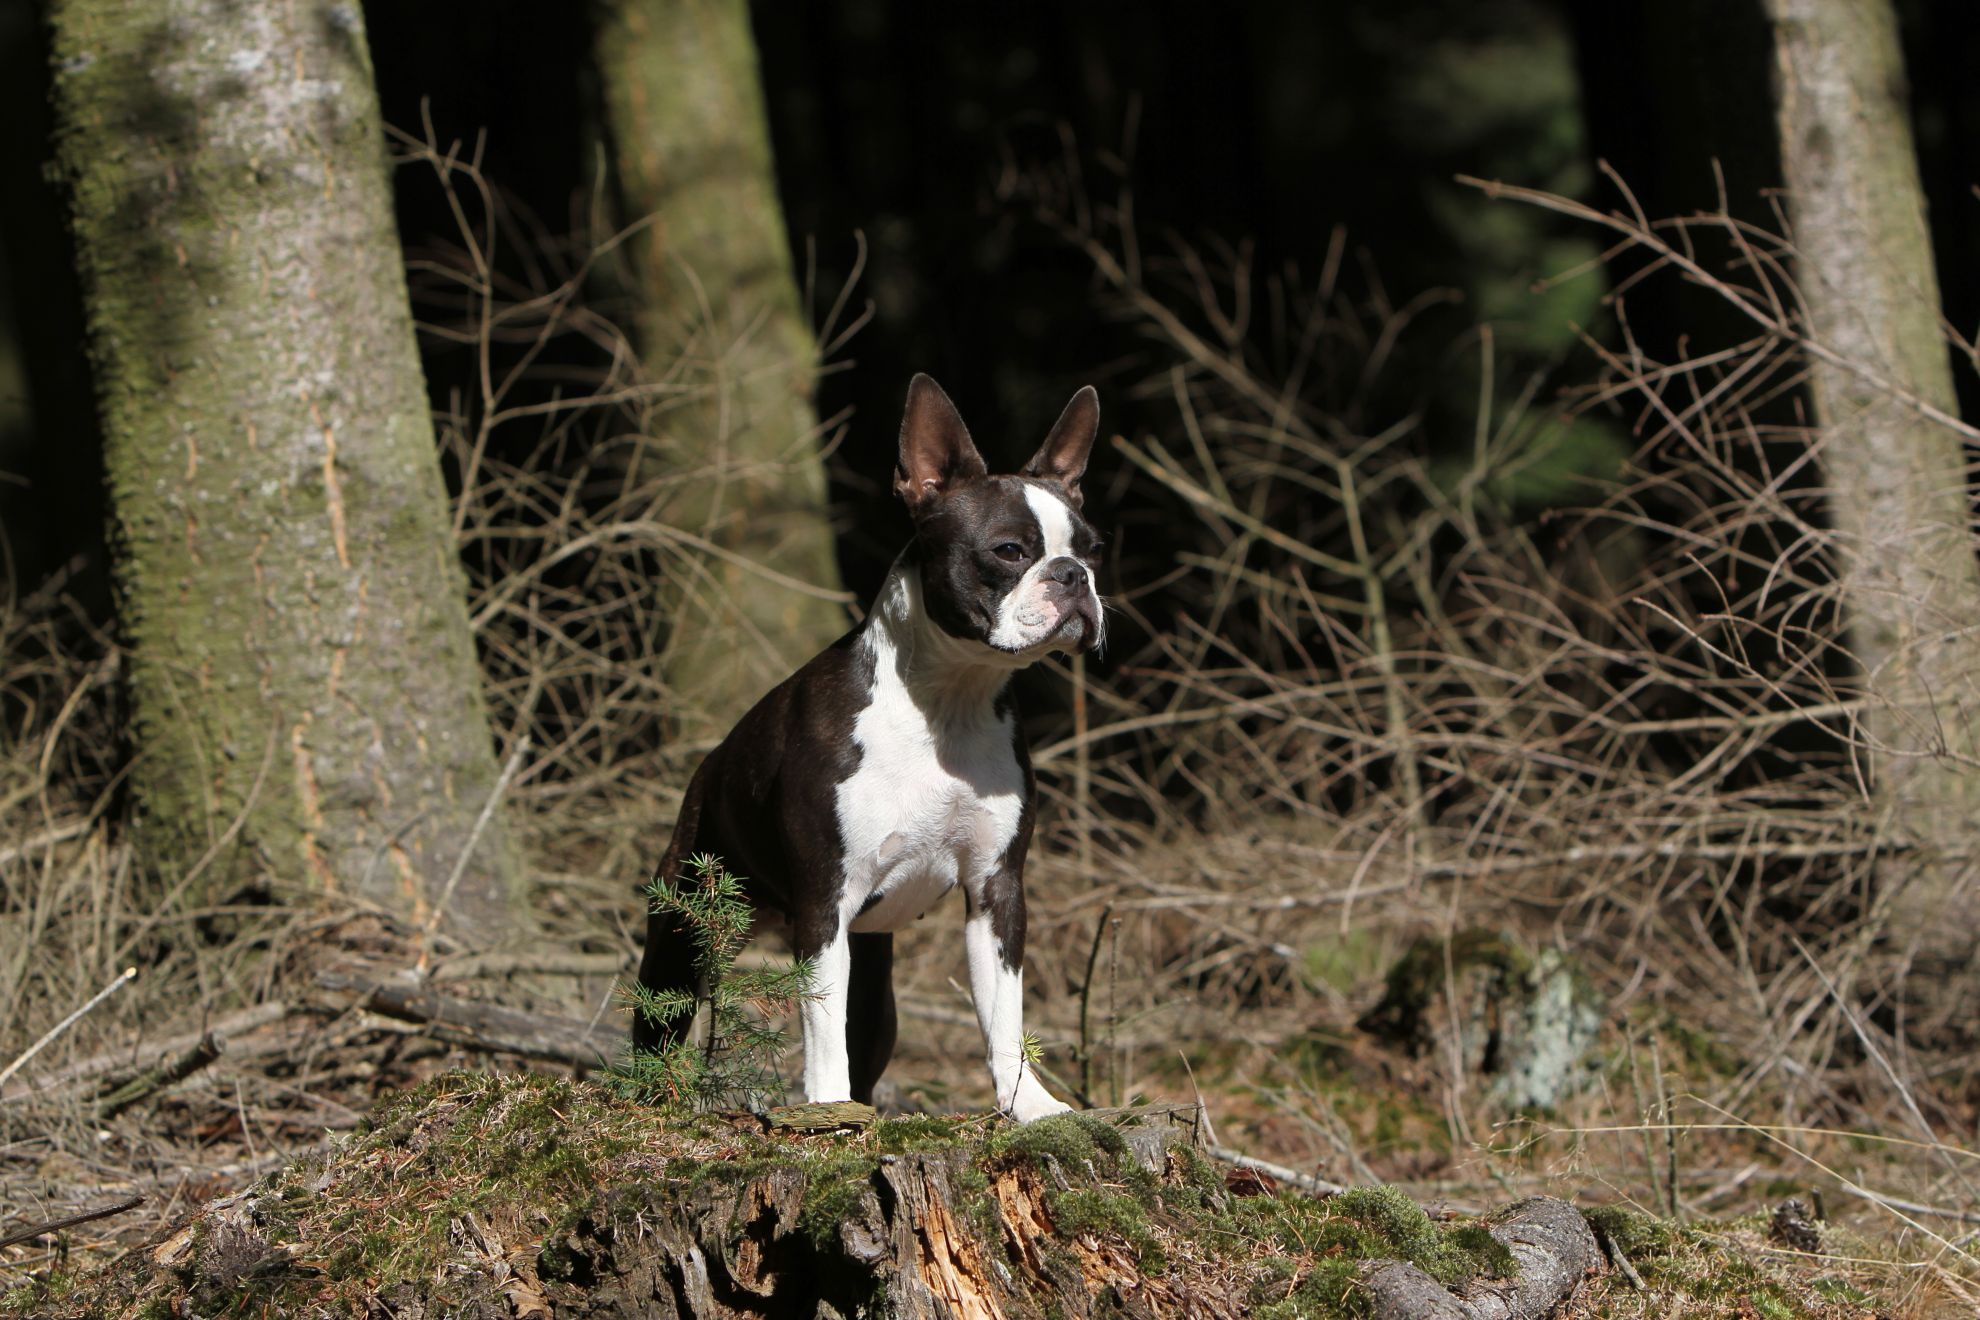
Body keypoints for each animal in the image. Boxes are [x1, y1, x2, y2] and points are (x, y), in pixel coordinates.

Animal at [629, 374, 1100, 1124]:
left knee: (868, 1037)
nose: (1074, 576)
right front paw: (826, 1110)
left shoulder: (995, 890)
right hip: (683, 927)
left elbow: (1005, 1016)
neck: (948, 703)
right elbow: (823, 1024)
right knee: (662, 1030)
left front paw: (1028, 1103)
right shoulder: (827, 899)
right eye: (1008, 551)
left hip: (875, 978)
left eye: (1092, 549)